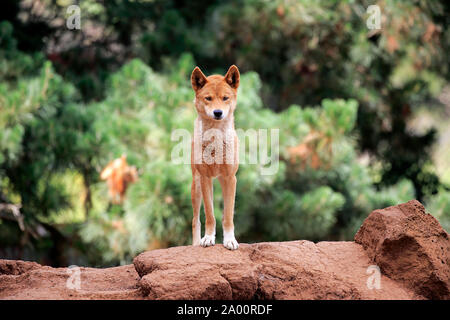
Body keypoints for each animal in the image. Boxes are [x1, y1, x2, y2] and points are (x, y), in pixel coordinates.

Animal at [190, 65, 241, 250]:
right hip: (196, 186)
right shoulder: (205, 178)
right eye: (208, 98)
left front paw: (230, 240)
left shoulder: (230, 178)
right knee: (195, 220)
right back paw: (195, 243)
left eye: (225, 98)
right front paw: (208, 238)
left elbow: (228, 216)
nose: (218, 112)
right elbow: (210, 215)